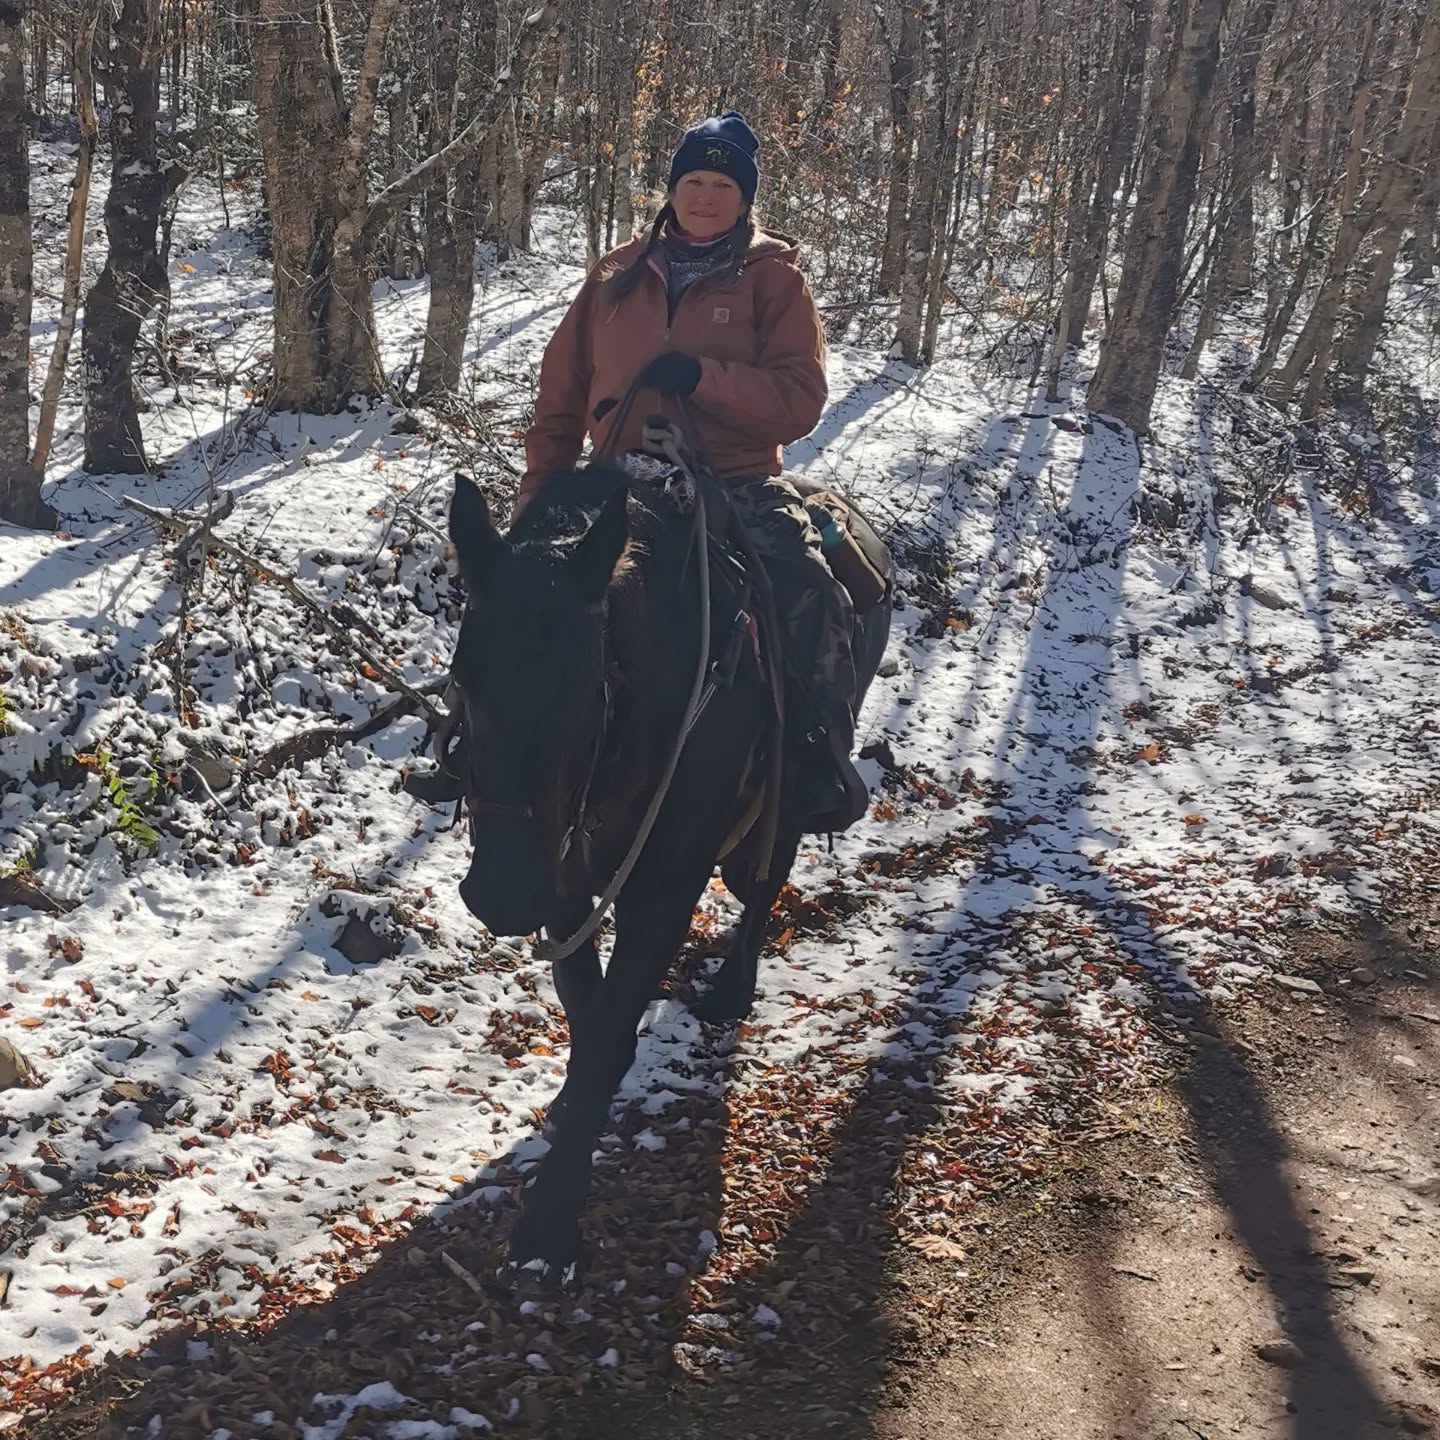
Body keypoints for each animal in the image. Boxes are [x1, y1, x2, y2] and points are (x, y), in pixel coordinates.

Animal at [442, 461, 891, 1270]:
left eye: (589, 680)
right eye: (465, 676)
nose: (502, 893)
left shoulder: (664, 885)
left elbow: (609, 1029)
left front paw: (549, 1221)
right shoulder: (568, 880)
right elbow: (586, 1013)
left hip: (786, 802)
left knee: (764, 882)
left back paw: (731, 993)